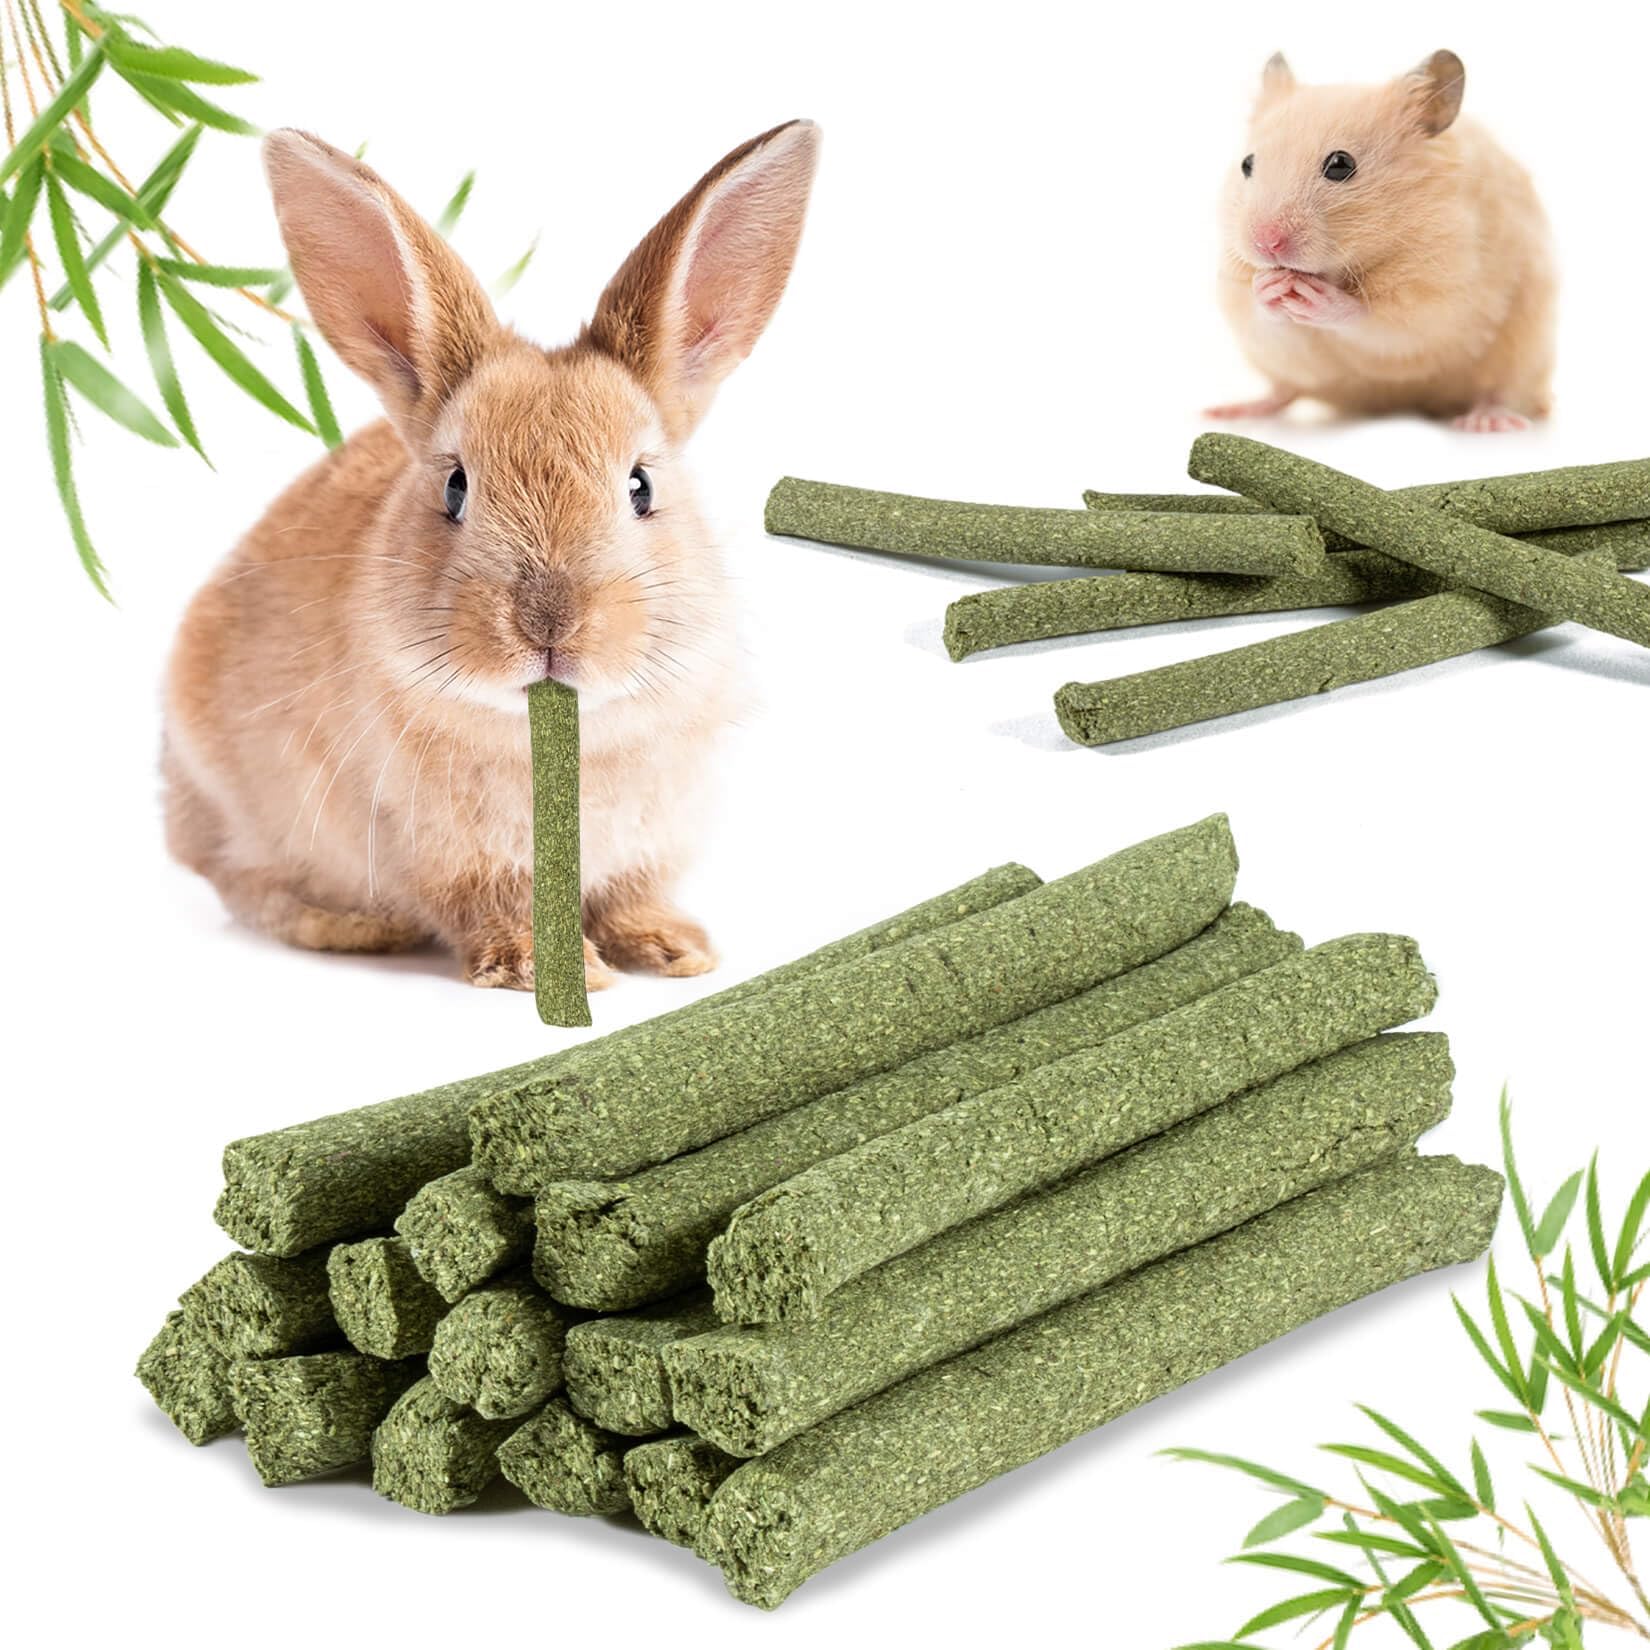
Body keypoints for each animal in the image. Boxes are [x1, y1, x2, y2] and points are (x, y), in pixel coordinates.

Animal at [163, 120, 820, 990]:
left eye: (641, 485)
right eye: (454, 488)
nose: (549, 623)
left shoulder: (649, 844)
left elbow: (634, 896)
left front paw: (677, 951)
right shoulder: (454, 858)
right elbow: (491, 906)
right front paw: (542, 969)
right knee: (242, 883)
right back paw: (350, 925)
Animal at [1210, 50, 1556, 432]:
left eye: (1341, 164)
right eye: (1247, 164)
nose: (1266, 243)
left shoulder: (1441, 295)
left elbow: (1376, 321)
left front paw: (1318, 297)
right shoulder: (1247, 306)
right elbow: (1264, 319)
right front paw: (1268, 286)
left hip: (1525, 352)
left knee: (1502, 392)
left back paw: (1485, 421)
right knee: (1285, 390)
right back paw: (1229, 410)